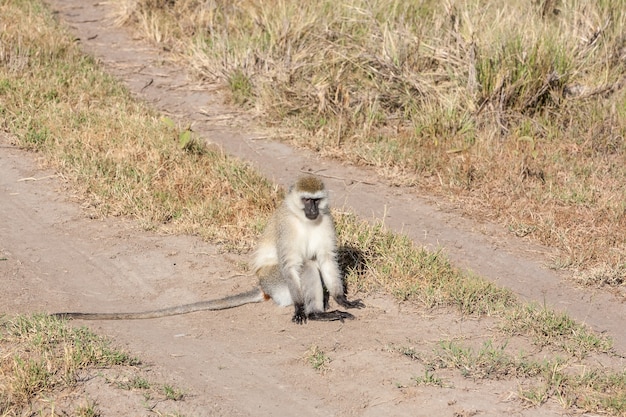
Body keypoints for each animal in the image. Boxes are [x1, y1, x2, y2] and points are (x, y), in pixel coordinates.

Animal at [56, 174, 366, 324]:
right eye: (305, 201)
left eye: (316, 200)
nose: (312, 210)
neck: (304, 220)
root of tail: (262, 287)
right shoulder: (286, 228)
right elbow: (292, 264)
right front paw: (302, 310)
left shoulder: (327, 220)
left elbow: (326, 258)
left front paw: (342, 300)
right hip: (274, 281)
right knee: (305, 267)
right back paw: (314, 314)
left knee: (313, 263)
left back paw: (324, 313)